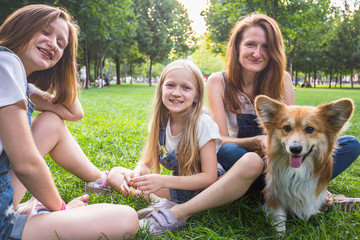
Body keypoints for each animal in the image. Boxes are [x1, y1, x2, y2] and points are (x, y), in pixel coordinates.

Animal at [255, 95, 352, 232]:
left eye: (310, 129)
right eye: (287, 128)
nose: (295, 149)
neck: (297, 171)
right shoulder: (273, 193)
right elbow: (279, 217)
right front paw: (279, 232)